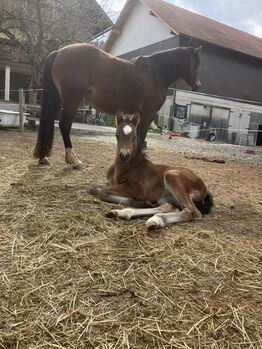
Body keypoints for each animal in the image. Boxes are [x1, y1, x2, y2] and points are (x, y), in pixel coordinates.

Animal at [32, 42, 201, 168]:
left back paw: (44, 157)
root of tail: (59, 52)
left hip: (58, 99)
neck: (156, 73)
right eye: (197, 64)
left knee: (49, 122)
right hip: (72, 100)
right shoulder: (148, 113)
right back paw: (74, 160)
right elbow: (141, 136)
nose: (198, 85)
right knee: (64, 125)